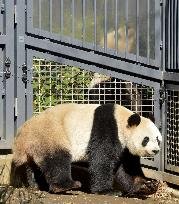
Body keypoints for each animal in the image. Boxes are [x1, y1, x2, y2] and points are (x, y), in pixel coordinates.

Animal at [11, 103, 162, 194]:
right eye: (146, 139)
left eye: (158, 139)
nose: (155, 150)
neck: (122, 121)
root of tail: (21, 137)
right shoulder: (106, 129)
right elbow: (102, 160)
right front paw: (107, 191)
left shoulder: (125, 148)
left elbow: (126, 167)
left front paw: (145, 185)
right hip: (50, 135)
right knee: (57, 159)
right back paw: (67, 185)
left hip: (36, 145)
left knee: (34, 166)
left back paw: (37, 185)